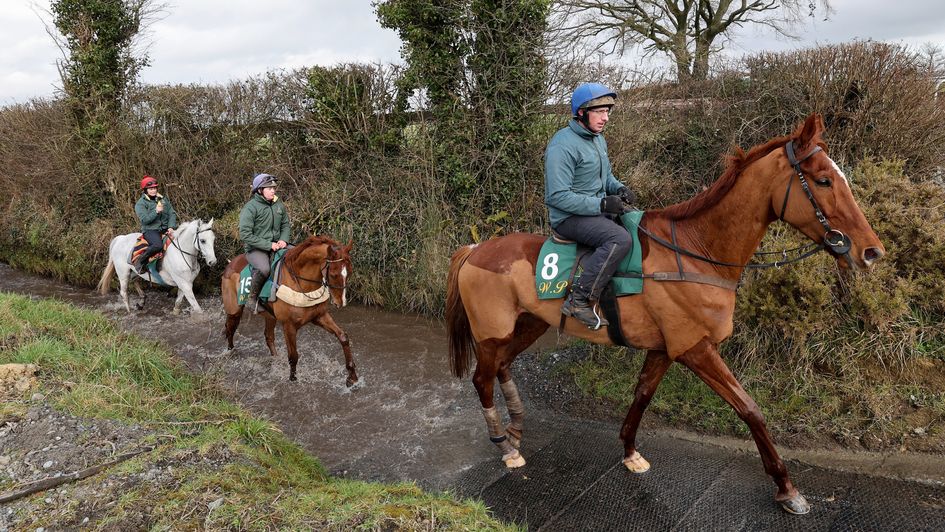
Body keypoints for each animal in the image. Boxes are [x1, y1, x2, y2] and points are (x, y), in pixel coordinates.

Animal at [222, 235, 358, 384]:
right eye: (333, 274)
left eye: (350, 272)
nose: (341, 302)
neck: (301, 284)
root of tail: (230, 264)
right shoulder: (289, 326)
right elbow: (293, 356)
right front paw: (293, 378)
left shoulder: (320, 316)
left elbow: (343, 337)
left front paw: (352, 375)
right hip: (234, 310)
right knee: (230, 329)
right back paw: (230, 352)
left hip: (270, 316)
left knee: (268, 337)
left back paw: (275, 358)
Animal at [442, 113, 884, 516]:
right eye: (824, 180)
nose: (871, 251)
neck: (696, 251)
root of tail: (475, 250)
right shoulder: (695, 349)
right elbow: (750, 410)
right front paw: (786, 487)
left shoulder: (664, 349)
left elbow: (641, 395)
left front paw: (630, 451)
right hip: (492, 333)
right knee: (482, 378)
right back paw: (505, 446)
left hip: (528, 325)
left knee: (503, 367)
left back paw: (516, 429)